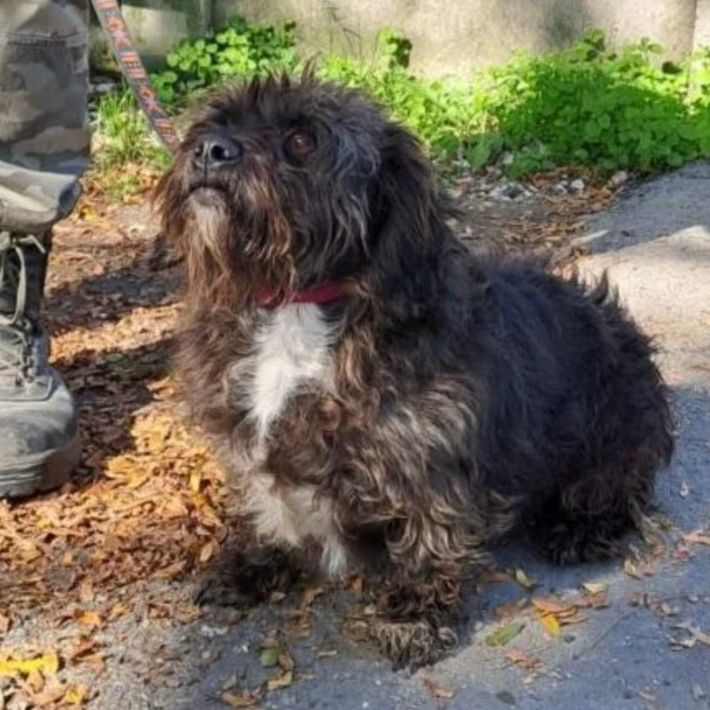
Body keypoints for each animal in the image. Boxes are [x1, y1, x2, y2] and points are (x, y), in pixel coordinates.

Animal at [156, 73, 674, 669]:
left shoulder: (430, 460)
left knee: (620, 488)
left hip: (613, 426)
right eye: (216, 122)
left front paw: (412, 619)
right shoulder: (250, 440)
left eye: (302, 140)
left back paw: (583, 527)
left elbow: (431, 537)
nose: (209, 150)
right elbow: (269, 507)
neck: (295, 307)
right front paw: (256, 566)